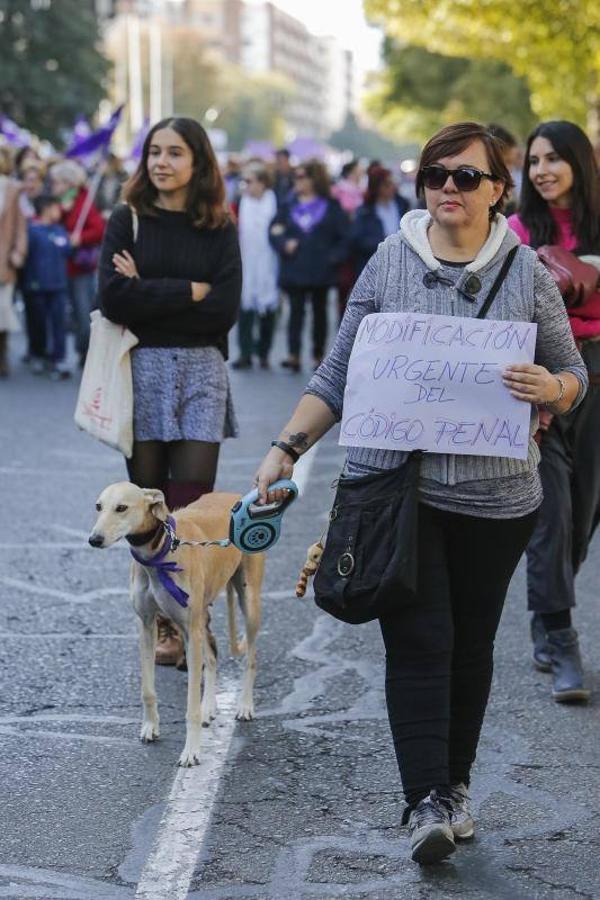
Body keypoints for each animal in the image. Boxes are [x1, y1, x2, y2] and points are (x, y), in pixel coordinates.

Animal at [88, 486, 264, 768]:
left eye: (122, 508)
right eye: (98, 506)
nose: (94, 539)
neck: (159, 552)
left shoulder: (189, 631)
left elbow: (190, 707)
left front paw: (191, 751)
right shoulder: (147, 626)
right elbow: (148, 690)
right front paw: (150, 727)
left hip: (247, 605)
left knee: (251, 658)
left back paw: (245, 705)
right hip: (199, 619)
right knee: (212, 658)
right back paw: (209, 706)